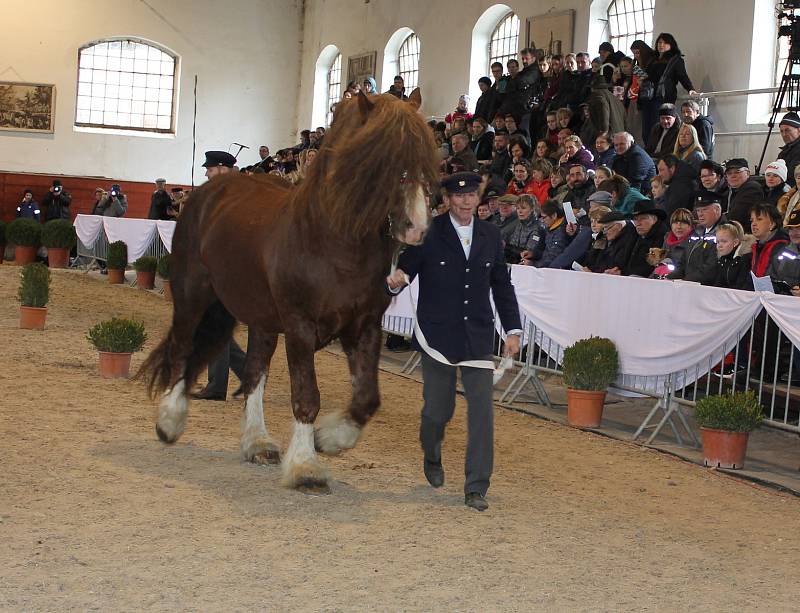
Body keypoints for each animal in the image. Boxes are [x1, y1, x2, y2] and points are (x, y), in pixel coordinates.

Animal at [138, 89, 438, 492]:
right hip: (192, 296)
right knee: (183, 350)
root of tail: (207, 192)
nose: (417, 228)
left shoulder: (364, 326)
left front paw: (328, 439)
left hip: (261, 319)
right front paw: (305, 467)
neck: (331, 242)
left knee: (253, 373)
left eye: (427, 162)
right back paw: (169, 422)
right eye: (383, 160)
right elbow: (307, 395)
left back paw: (257, 443)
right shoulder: (300, 327)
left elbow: (367, 398)